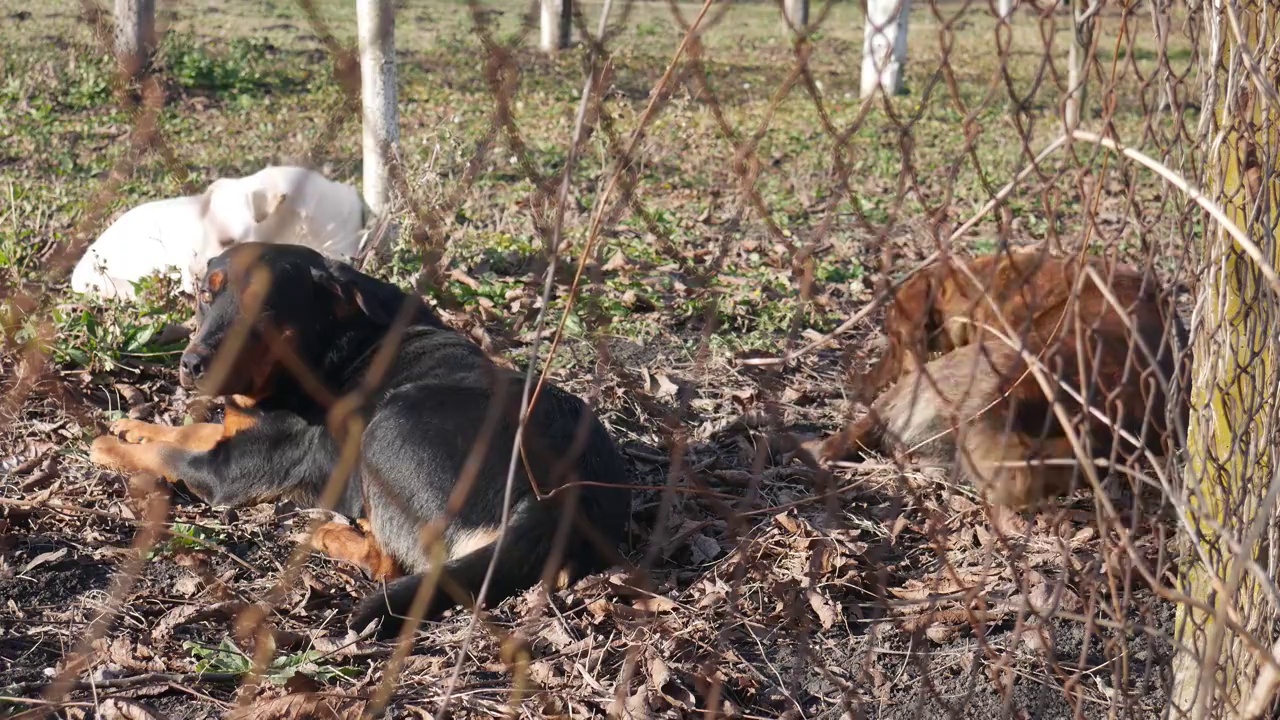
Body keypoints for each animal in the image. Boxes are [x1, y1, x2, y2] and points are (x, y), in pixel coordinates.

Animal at [88, 242, 629, 632]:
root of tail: (560, 496)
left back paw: (329, 531)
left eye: (265, 308)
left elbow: (168, 453)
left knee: (389, 562)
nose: (192, 365)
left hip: (386, 426)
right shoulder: (235, 434)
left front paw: (110, 445)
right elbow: (191, 429)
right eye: (206, 294)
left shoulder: (228, 474)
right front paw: (131, 426)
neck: (331, 343)